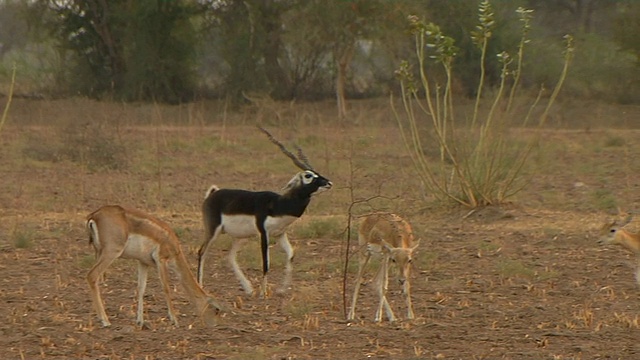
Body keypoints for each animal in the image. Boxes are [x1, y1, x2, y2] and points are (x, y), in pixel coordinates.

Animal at [86, 205, 222, 326]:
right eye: (216, 310)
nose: (214, 325)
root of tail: (94, 215)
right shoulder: (161, 260)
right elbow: (166, 288)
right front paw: (174, 320)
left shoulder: (143, 263)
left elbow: (141, 289)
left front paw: (140, 321)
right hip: (111, 252)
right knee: (92, 275)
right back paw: (105, 321)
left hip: (99, 253)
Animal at [198, 126, 332, 298]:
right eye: (308, 175)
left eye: (317, 173)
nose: (328, 183)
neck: (278, 204)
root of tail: (212, 194)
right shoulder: (264, 233)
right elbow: (266, 263)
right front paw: (263, 293)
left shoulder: (280, 233)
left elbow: (291, 255)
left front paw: (282, 289)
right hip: (213, 231)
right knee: (202, 252)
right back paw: (200, 287)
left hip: (241, 236)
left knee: (230, 257)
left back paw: (248, 289)